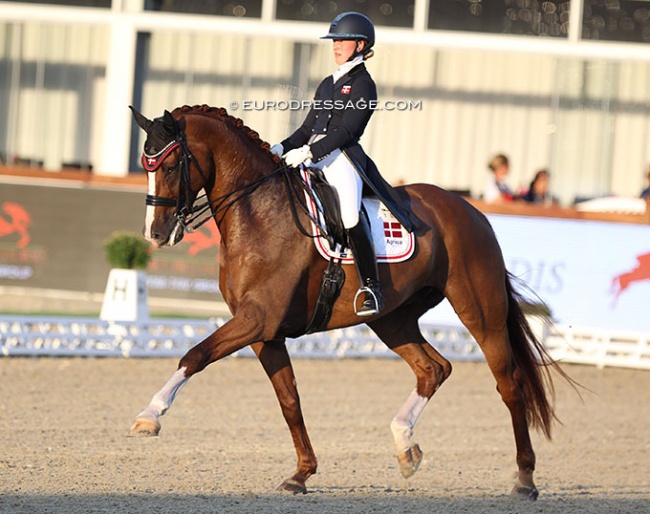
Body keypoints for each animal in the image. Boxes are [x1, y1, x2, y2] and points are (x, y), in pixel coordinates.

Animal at [128, 104, 568, 500]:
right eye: (146, 166)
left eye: (170, 166)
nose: (156, 233)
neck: (260, 213)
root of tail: (471, 211)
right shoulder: (265, 333)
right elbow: (289, 401)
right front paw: (301, 474)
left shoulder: (257, 319)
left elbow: (195, 355)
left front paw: (149, 416)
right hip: (392, 319)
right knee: (433, 369)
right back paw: (405, 448)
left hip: (480, 314)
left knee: (509, 385)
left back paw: (524, 480)